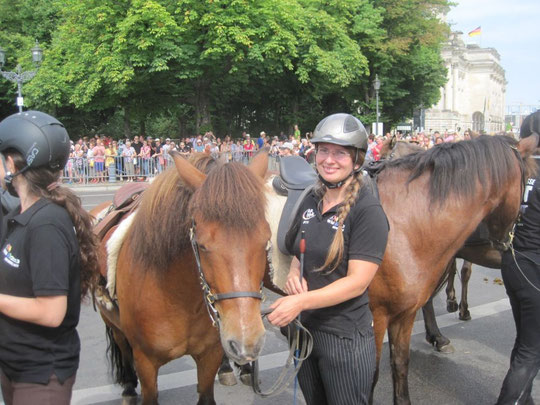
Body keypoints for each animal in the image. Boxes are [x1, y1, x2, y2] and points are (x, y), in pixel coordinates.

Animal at [93, 151, 272, 404]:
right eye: (201, 245)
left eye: (266, 240)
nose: (247, 341)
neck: (178, 296)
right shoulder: (146, 363)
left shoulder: (209, 356)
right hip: (112, 323)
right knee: (123, 349)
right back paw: (128, 389)